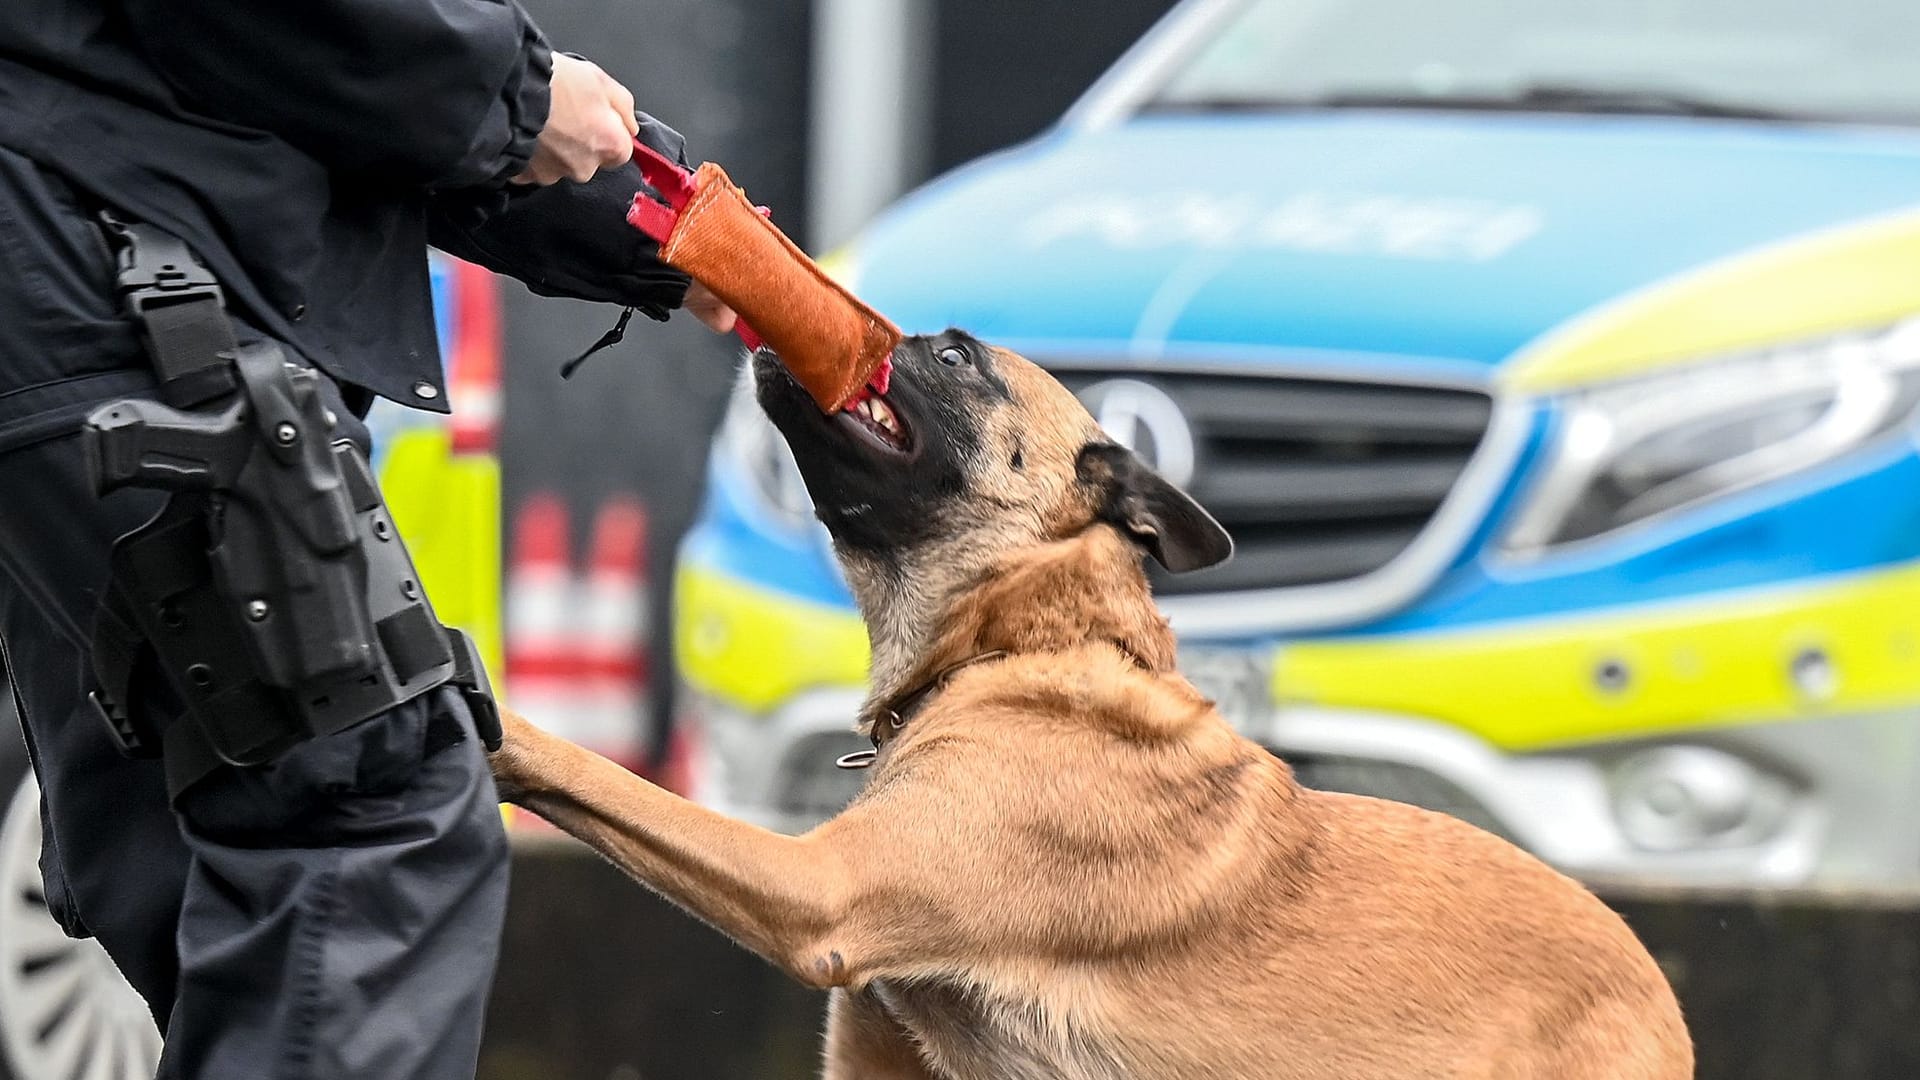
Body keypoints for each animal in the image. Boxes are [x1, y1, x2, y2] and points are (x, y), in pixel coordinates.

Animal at [495, 334, 1697, 1076]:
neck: (1019, 643)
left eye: (954, 356)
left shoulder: (819, 892)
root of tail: (1659, 994)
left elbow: (604, 777)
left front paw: (500, 726)